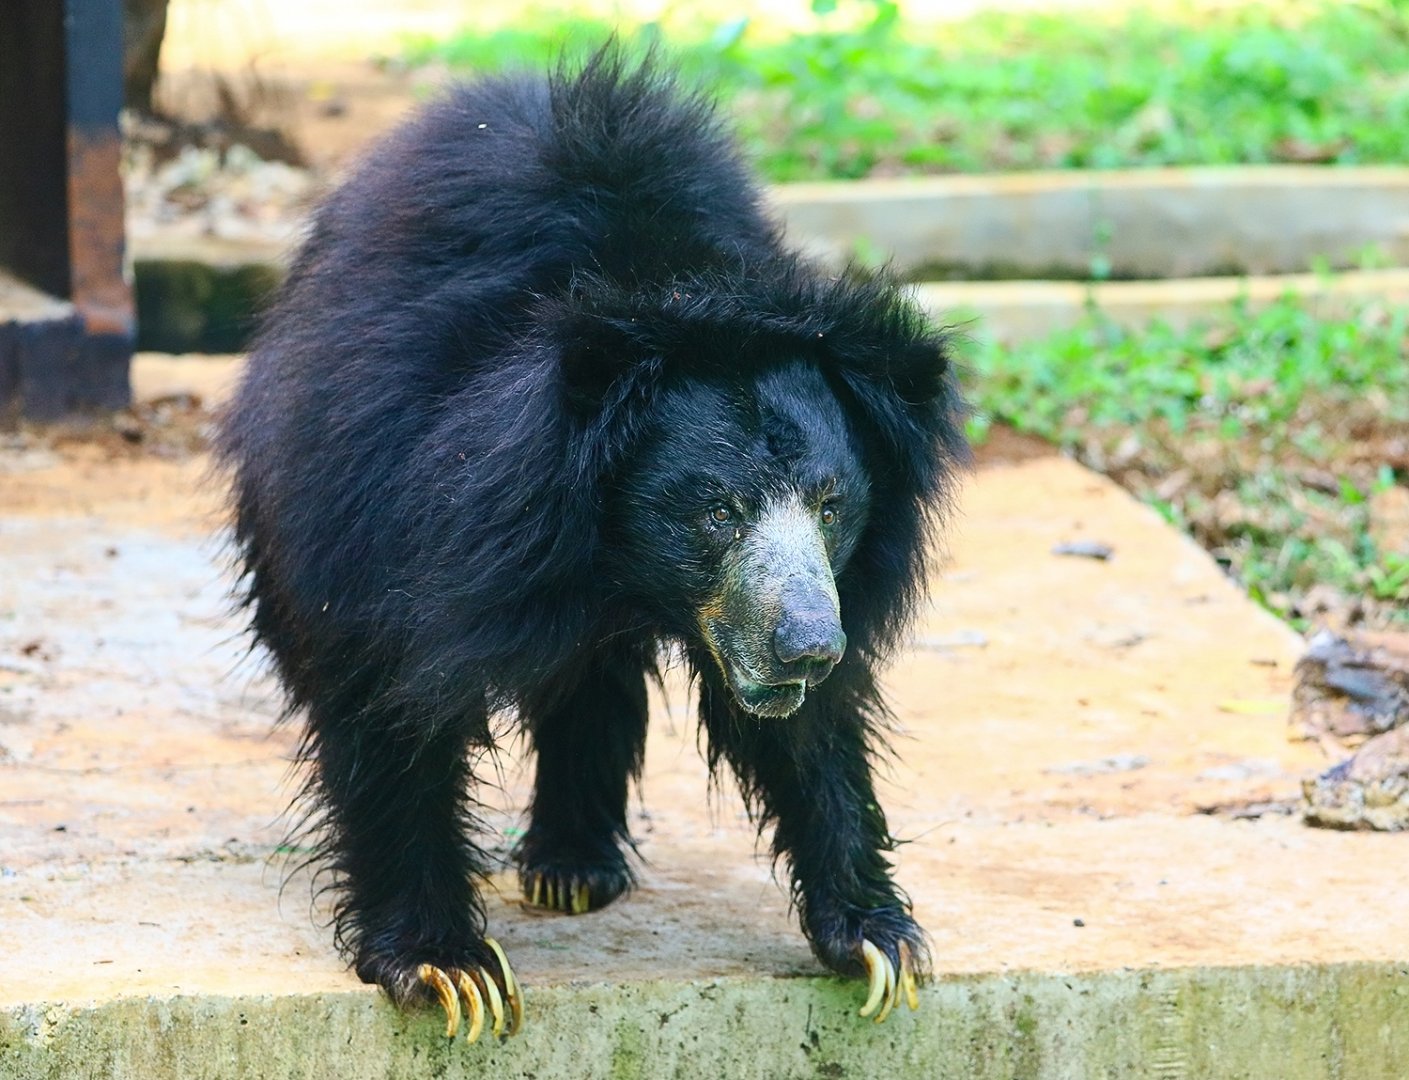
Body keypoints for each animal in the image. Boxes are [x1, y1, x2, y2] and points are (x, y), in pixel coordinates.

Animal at [216, 47, 968, 1039]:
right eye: (716, 511)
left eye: (832, 504)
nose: (808, 644)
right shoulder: (375, 491)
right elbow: (384, 692)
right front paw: (449, 969)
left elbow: (809, 735)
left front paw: (878, 940)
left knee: (590, 675)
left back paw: (571, 868)